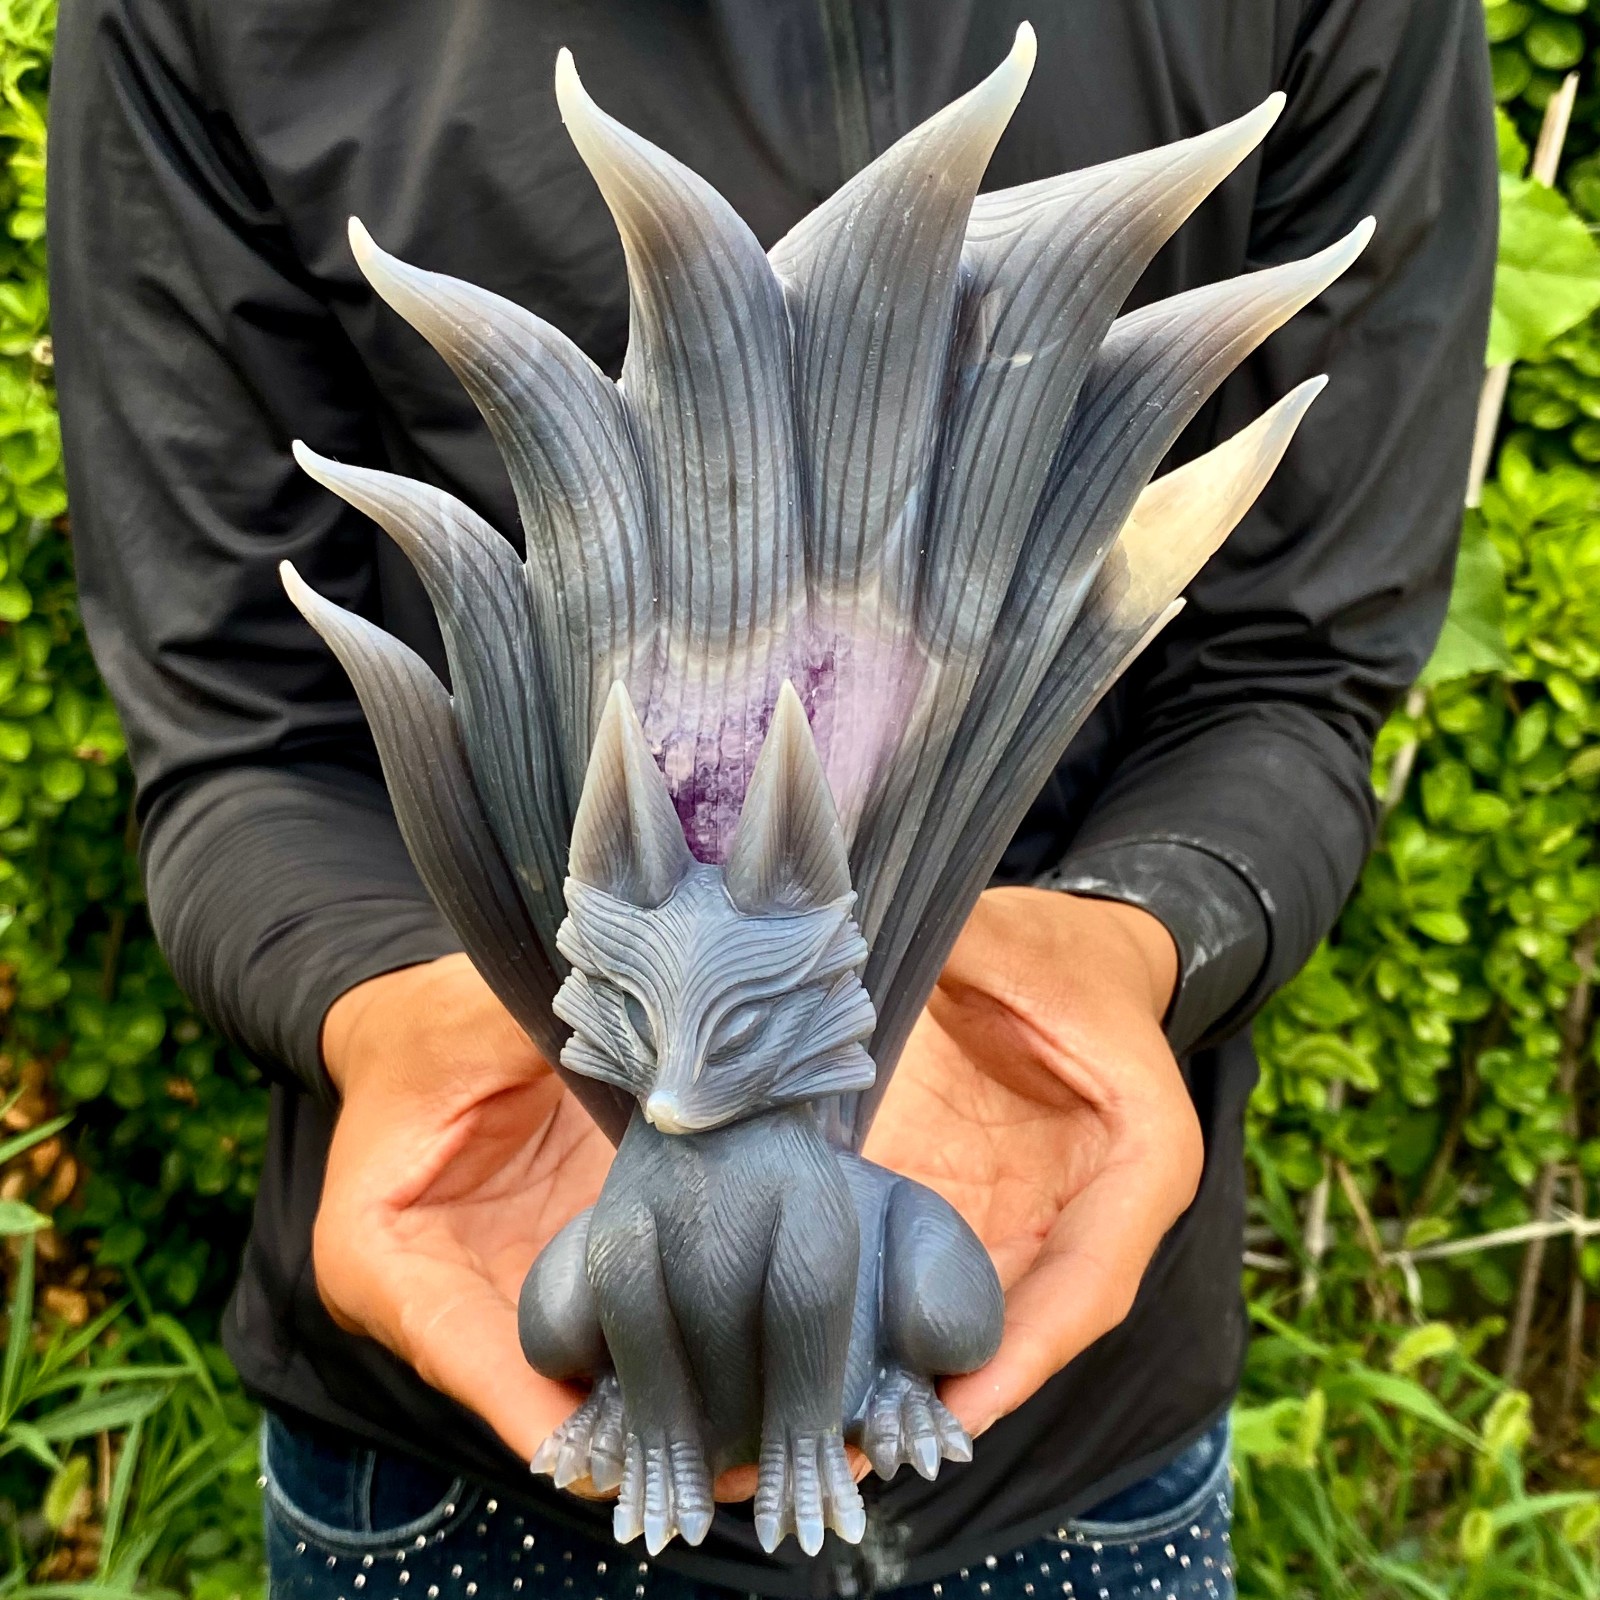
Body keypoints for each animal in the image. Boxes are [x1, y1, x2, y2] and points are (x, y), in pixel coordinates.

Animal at [516, 683, 1004, 1557]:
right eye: (635, 1015)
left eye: (741, 1027)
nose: (669, 1112)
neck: (711, 1168)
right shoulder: (621, 1256)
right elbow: (648, 1375)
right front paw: (658, 1490)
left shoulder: (816, 1254)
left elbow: (806, 1372)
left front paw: (808, 1495)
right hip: (554, 1300)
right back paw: (596, 1433)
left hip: (945, 1291)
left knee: (928, 1339)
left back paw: (905, 1417)